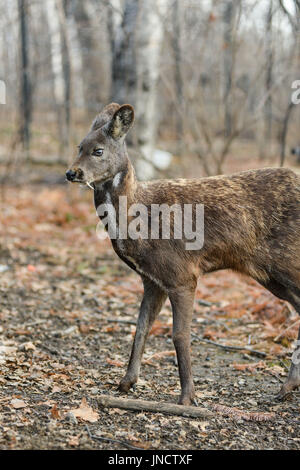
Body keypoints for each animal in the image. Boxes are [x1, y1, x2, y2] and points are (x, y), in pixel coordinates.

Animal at [67, 103, 300, 404]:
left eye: (98, 150)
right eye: (79, 146)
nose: (71, 173)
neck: (138, 219)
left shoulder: (181, 274)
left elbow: (179, 335)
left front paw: (187, 397)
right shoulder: (152, 280)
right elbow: (140, 328)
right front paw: (126, 382)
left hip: (286, 260)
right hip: (271, 275)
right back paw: (287, 387)